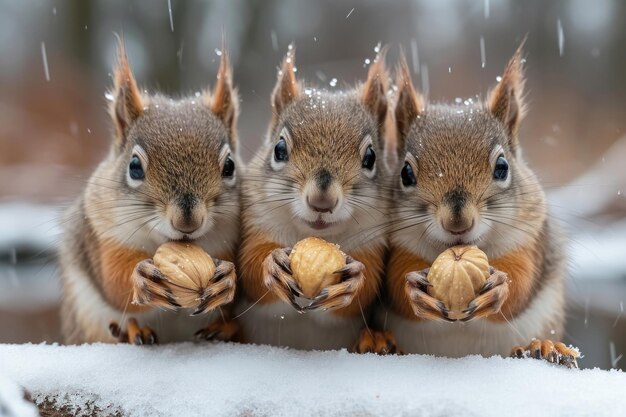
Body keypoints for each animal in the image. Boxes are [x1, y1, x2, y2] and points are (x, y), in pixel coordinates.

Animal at [58, 40, 240, 342]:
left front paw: (227, 278)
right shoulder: (105, 236)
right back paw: (131, 331)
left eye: (230, 166)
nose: (187, 222)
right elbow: (114, 284)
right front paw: (141, 279)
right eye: (134, 167)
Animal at [232, 46, 398, 352]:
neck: (315, 236)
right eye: (279, 149)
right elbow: (249, 271)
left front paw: (354, 281)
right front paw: (272, 265)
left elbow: (365, 291)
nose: (322, 202)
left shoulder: (372, 241)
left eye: (371, 158)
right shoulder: (258, 223)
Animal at [380, 44, 580, 366]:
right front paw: (413, 290)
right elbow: (393, 282)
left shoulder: (528, 237)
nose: (457, 222)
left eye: (502, 167)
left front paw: (501, 286)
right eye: (405, 173)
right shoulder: (397, 246)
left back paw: (544, 346)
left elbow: (522, 281)